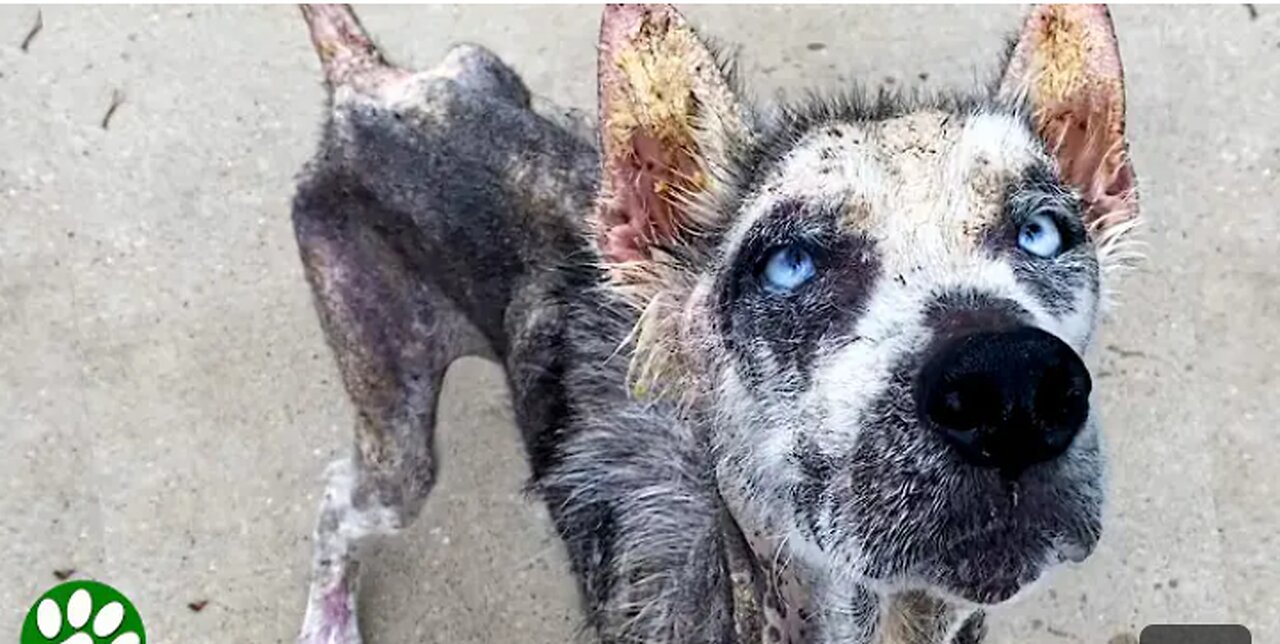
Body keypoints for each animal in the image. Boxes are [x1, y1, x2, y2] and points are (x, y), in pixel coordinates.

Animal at [290, 5, 1141, 644]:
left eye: (1043, 232)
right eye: (789, 263)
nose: (1014, 387)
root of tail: (368, 85)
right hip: (395, 435)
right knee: (334, 501)